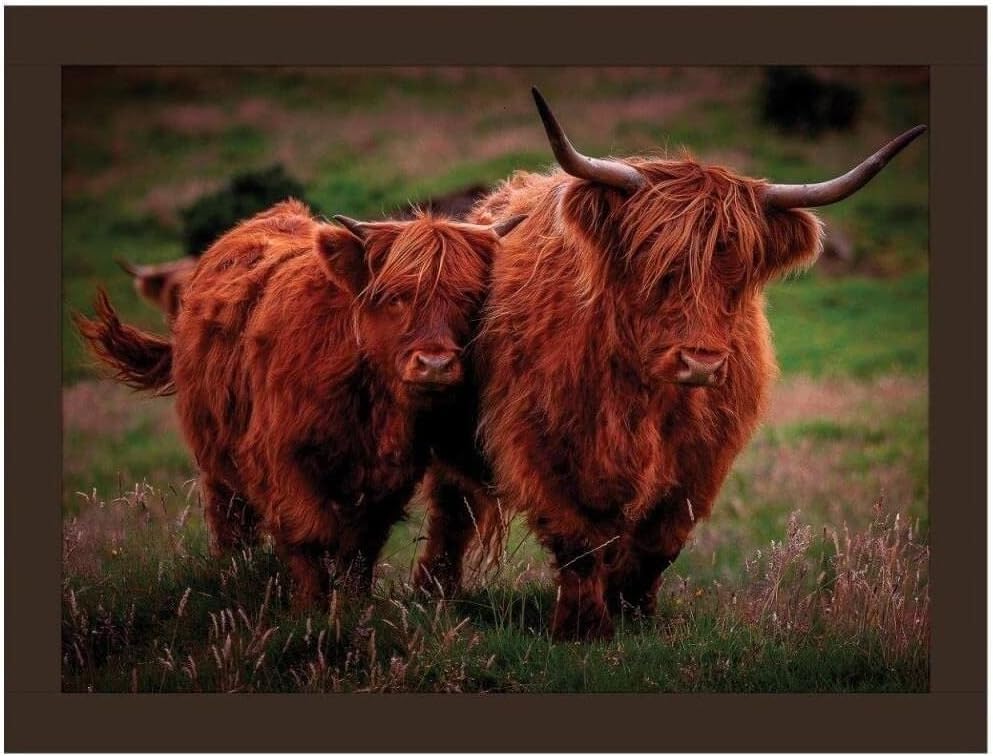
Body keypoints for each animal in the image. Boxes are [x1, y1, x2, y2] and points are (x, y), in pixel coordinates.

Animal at [76, 199, 525, 606]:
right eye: (396, 297)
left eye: (468, 299)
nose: (435, 364)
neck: (368, 400)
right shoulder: (283, 460)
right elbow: (308, 535)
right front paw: (312, 609)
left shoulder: (390, 478)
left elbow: (361, 546)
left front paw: (354, 606)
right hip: (215, 458)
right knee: (230, 522)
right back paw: (232, 574)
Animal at [429, 88, 926, 640]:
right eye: (657, 265)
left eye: (739, 274)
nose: (702, 362)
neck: (643, 394)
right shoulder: (542, 443)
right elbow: (579, 541)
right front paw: (584, 628)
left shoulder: (701, 461)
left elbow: (659, 544)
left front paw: (637, 616)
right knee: (450, 513)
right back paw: (434, 597)